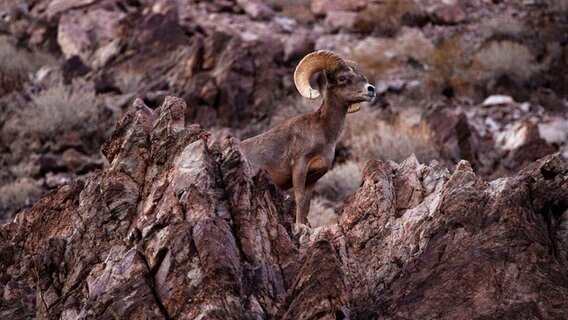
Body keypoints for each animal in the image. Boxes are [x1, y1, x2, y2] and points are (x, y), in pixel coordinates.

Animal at [242, 50, 374, 225]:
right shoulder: (300, 167)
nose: (371, 90)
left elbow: (307, 205)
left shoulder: (313, 177)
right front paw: (299, 226)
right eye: (342, 78)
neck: (324, 134)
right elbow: (299, 199)